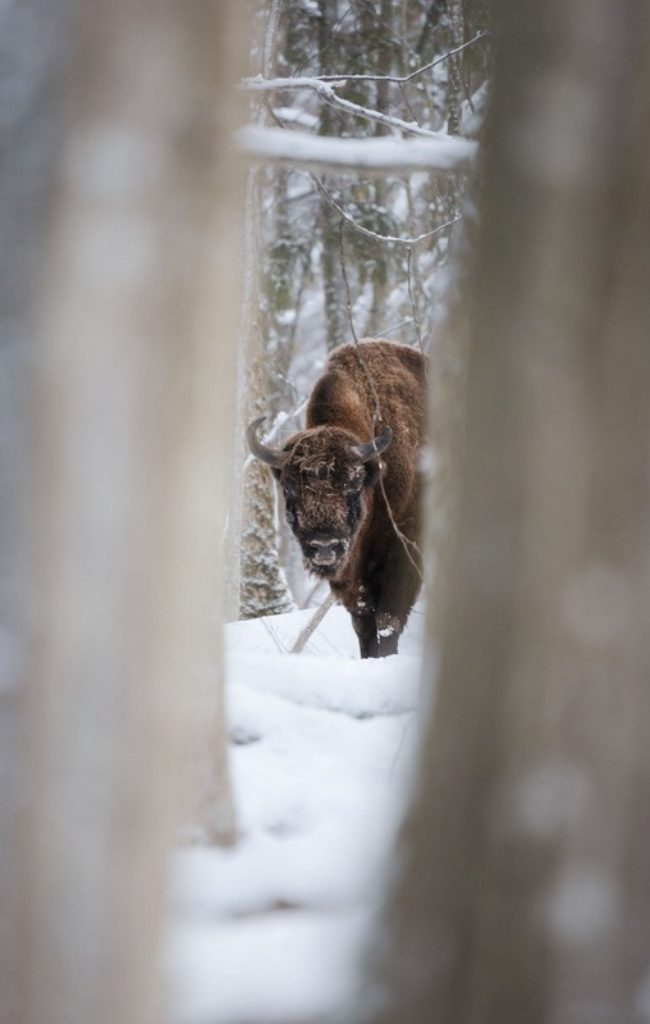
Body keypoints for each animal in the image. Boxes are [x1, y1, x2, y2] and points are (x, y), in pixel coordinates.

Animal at [247, 339, 426, 658]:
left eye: (353, 485)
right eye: (289, 488)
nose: (324, 546)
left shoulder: (405, 549)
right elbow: (364, 624)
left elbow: (387, 621)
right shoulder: (353, 581)